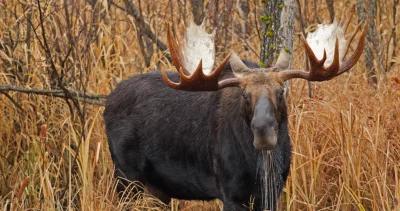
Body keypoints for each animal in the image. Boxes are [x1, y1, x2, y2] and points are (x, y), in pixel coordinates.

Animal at [103, 25, 366, 211]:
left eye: (281, 91)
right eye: (245, 95)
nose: (263, 131)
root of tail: (107, 104)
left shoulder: (271, 194)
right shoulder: (231, 194)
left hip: (158, 189)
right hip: (126, 178)